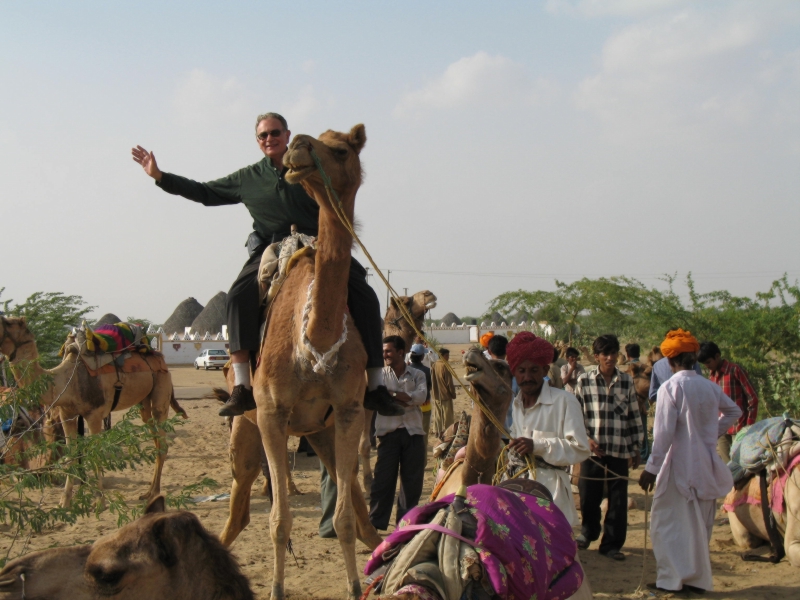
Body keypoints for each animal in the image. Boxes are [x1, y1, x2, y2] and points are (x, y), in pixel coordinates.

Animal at [0, 316, 186, 508]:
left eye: (7, 323)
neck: (64, 380)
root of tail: (160, 359)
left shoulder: (94, 415)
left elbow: (95, 454)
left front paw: (100, 501)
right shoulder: (67, 414)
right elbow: (72, 454)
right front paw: (64, 502)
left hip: (161, 388)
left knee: (162, 439)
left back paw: (154, 493)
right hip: (144, 402)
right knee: (155, 439)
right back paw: (148, 492)